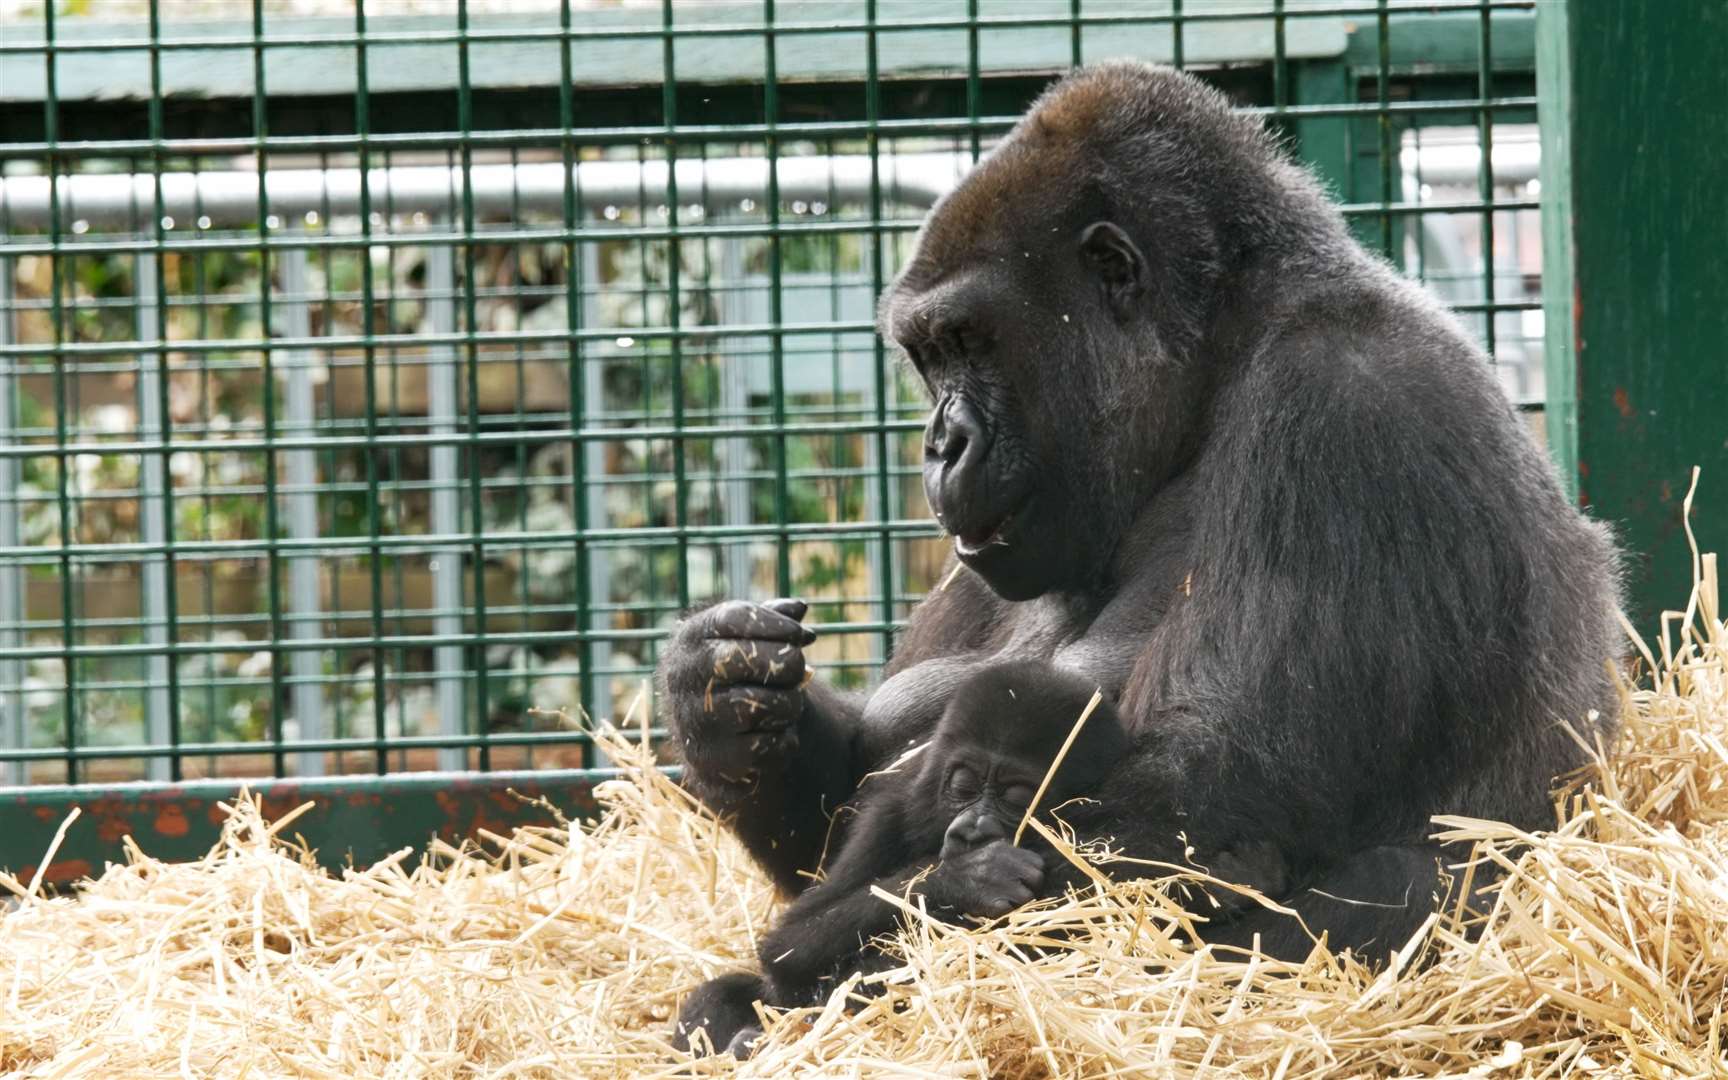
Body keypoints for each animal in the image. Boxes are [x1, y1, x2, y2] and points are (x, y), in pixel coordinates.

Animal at [656, 60, 1617, 960]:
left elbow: (1197, 805)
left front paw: (954, 886)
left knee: (1398, 880)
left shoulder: (1347, 405)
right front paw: (720, 694)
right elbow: (837, 826)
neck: (1218, 369)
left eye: (971, 341)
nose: (941, 444)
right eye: (929, 356)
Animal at [673, 660, 1119, 1057]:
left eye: (1016, 798)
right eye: (963, 786)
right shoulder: (890, 811)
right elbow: (790, 943)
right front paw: (968, 877)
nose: (972, 831)